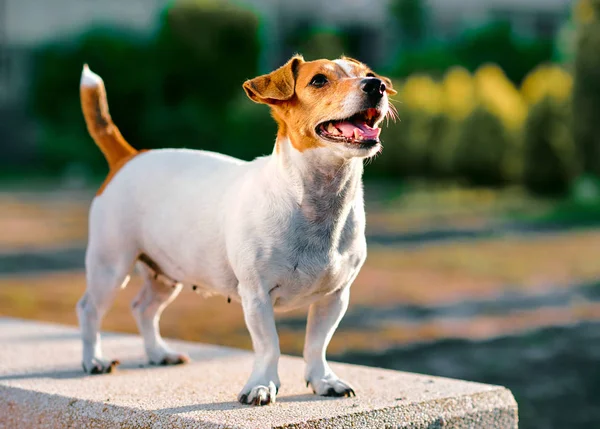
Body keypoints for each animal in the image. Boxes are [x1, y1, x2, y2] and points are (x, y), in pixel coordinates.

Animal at [78, 54, 398, 404]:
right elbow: (269, 345)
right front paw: (261, 385)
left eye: (369, 74)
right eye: (318, 81)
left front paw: (323, 380)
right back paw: (93, 360)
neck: (315, 200)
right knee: (90, 309)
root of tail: (128, 156)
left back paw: (158, 353)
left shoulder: (335, 297)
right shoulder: (256, 295)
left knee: (143, 309)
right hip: (110, 267)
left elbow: (317, 344)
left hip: (165, 272)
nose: (376, 86)